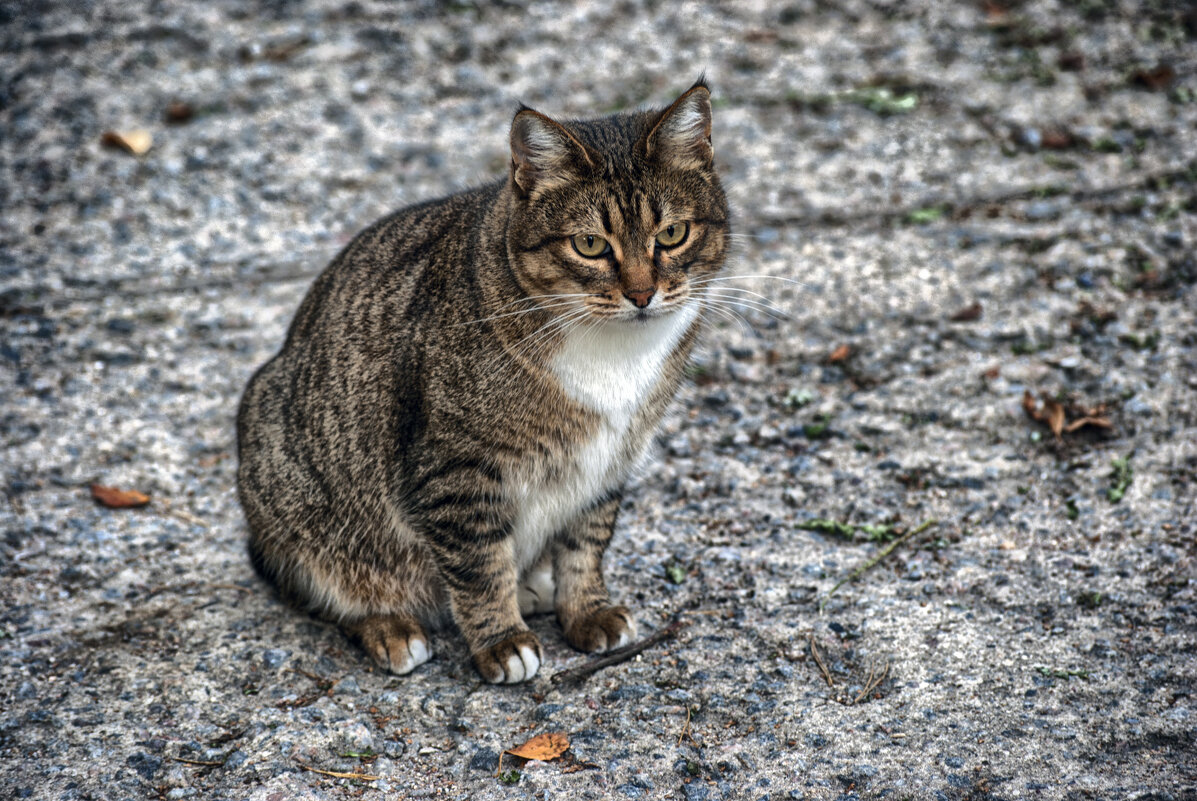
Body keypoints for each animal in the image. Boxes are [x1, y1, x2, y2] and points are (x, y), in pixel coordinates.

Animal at [235, 79, 727, 680]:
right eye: (589, 244)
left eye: (673, 234)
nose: (641, 294)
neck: (615, 357)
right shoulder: (456, 470)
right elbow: (479, 566)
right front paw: (501, 640)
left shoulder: (610, 461)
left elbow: (585, 545)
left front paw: (584, 610)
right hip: (286, 466)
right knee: (327, 589)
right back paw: (390, 625)